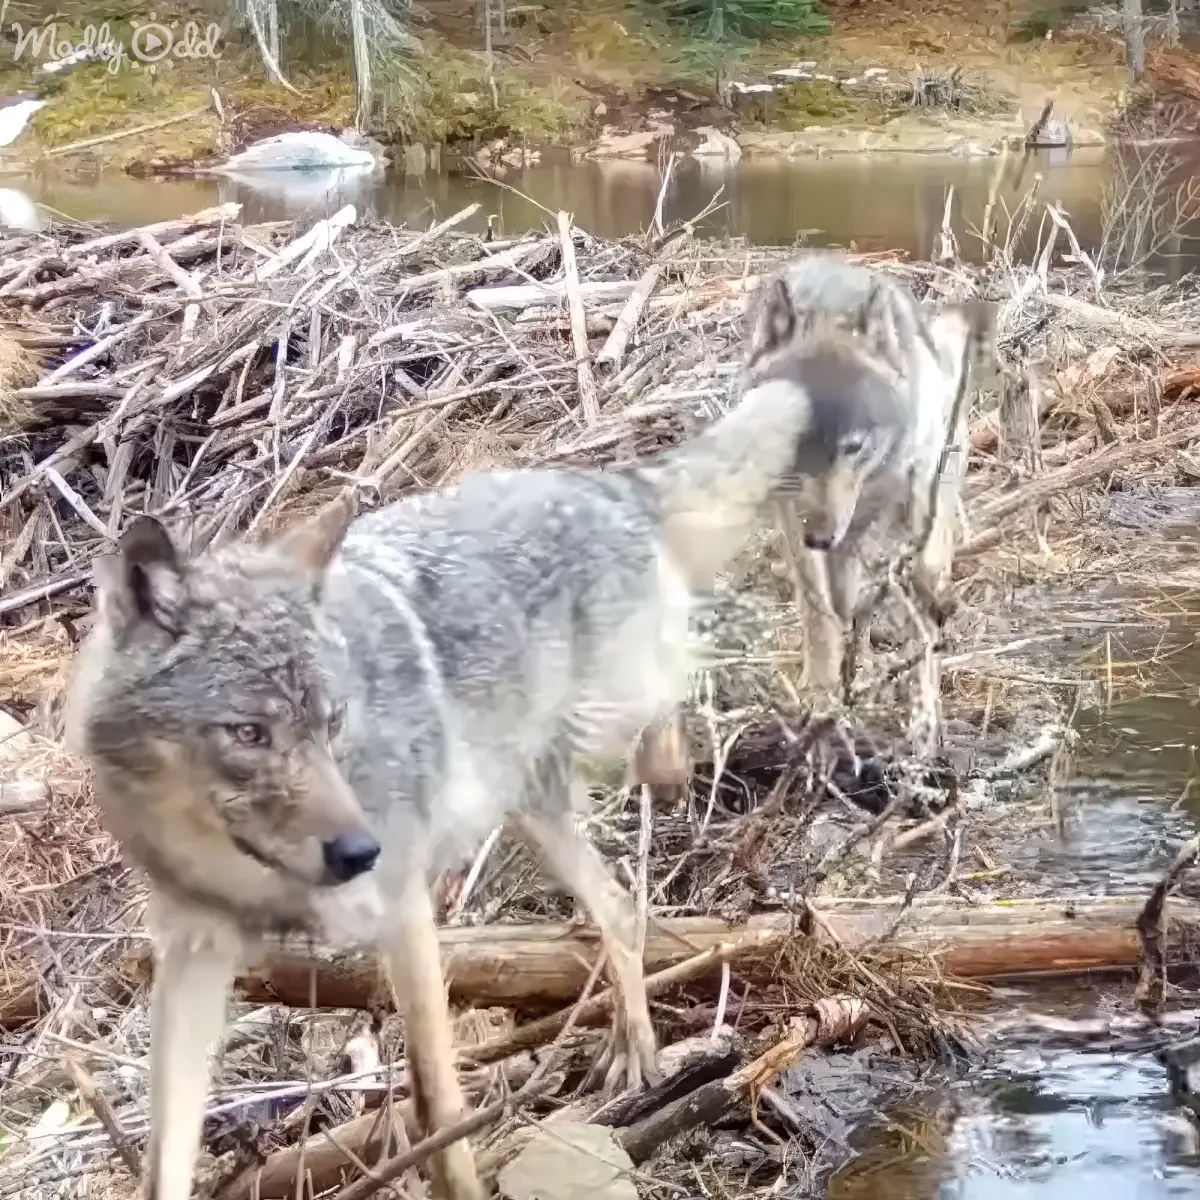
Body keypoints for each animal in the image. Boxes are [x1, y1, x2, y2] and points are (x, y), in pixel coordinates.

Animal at [65, 373, 844, 1200]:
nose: (360, 852)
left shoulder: (403, 913)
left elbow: (438, 1106)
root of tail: (603, 482)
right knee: (620, 909)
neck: (249, 877)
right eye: (249, 734)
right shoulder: (192, 960)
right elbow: (164, 1158)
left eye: (332, 722)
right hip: (536, 813)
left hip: (597, 738)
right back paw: (631, 1044)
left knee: (670, 736)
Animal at [742, 254, 995, 712]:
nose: (819, 537)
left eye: (853, 446)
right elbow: (819, 608)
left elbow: (915, 560)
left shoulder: (905, 482)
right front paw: (823, 686)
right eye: (792, 439)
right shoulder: (791, 514)